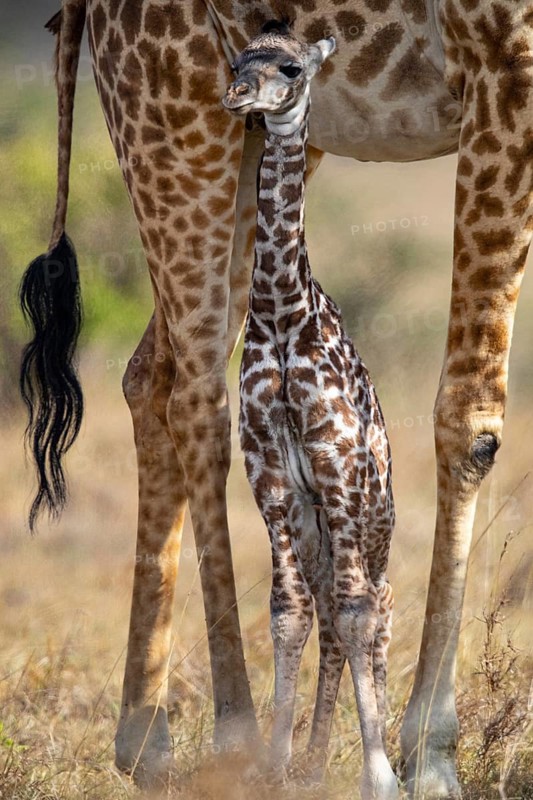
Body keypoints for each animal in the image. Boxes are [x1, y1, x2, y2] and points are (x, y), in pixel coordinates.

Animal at [18, 1, 532, 797]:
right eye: (246, 65)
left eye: (289, 66)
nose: (242, 91)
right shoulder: (503, 64)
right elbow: (471, 415)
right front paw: (427, 757)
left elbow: (349, 602)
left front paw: (389, 757)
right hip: (171, 122)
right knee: (194, 391)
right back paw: (235, 734)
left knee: (150, 375)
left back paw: (154, 742)